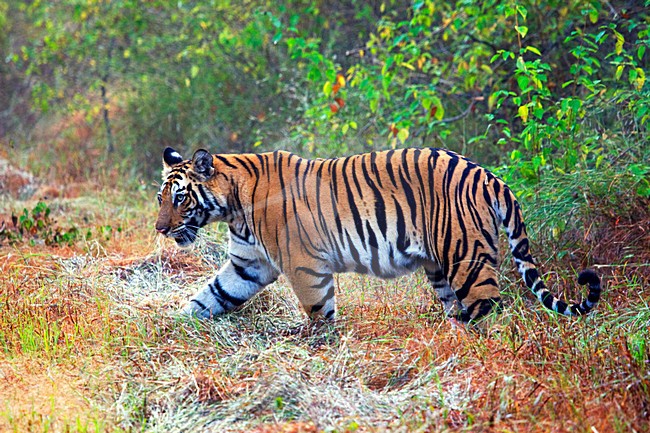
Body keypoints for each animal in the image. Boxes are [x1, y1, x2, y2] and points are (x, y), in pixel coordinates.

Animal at [155, 146, 601, 322]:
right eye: (161, 198)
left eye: (179, 198)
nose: (160, 228)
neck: (233, 209)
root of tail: (488, 175)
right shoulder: (248, 265)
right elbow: (211, 295)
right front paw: (176, 326)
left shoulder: (303, 266)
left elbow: (319, 312)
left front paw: (322, 347)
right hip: (440, 267)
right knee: (459, 310)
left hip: (466, 257)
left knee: (490, 309)